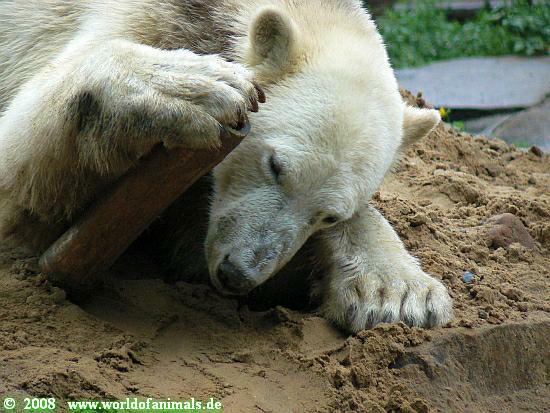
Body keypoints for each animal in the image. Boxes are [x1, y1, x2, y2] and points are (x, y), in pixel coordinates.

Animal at [0, 0, 453, 333]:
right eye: (275, 165)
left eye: (329, 217)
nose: (239, 273)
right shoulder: (147, 19)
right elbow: (19, 181)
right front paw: (190, 86)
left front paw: (398, 294)